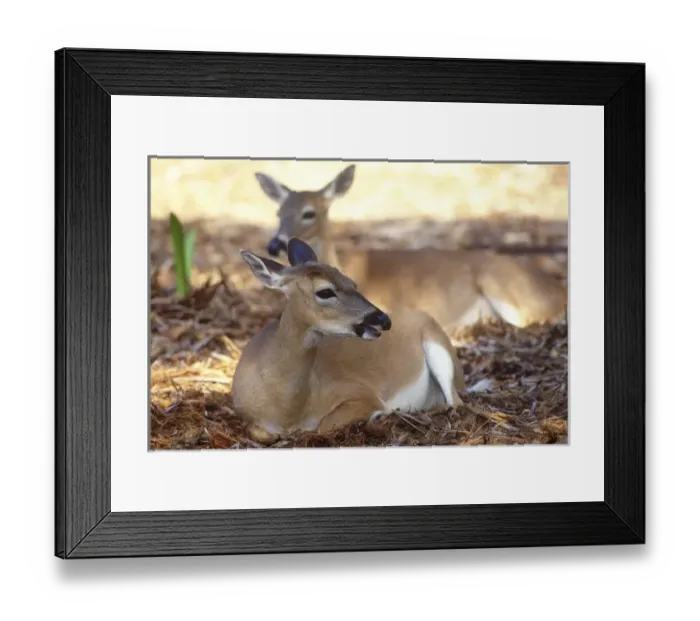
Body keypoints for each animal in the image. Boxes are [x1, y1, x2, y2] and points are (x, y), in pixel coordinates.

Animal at [230, 238, 465, 440]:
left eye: (352, 283)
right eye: (325, 291)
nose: (383, 319)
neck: (286, 411)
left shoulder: (361, 392)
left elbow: (323, 426)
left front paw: (379, 414)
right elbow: (261, 432)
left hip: (437, 346)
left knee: (455, 402)